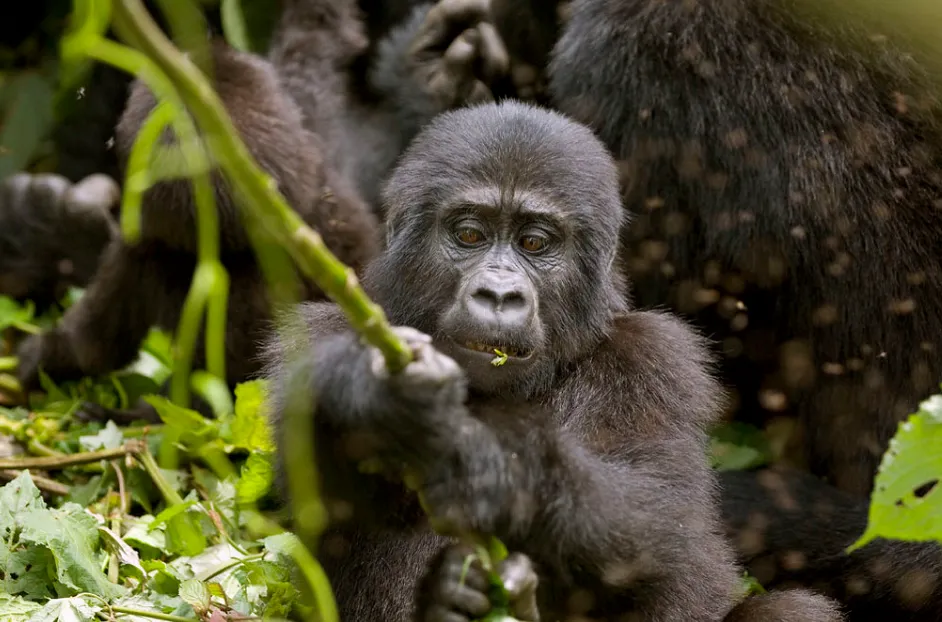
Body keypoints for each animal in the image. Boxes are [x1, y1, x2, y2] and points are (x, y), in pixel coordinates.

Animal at [263, 100, 843, 621]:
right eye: (469, 234)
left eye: (535, 243)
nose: (499, 296)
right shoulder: (313, 339)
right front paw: (378, 395)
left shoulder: (656, 359)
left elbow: (655, 526)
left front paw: (506, 472)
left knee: (791, 610)